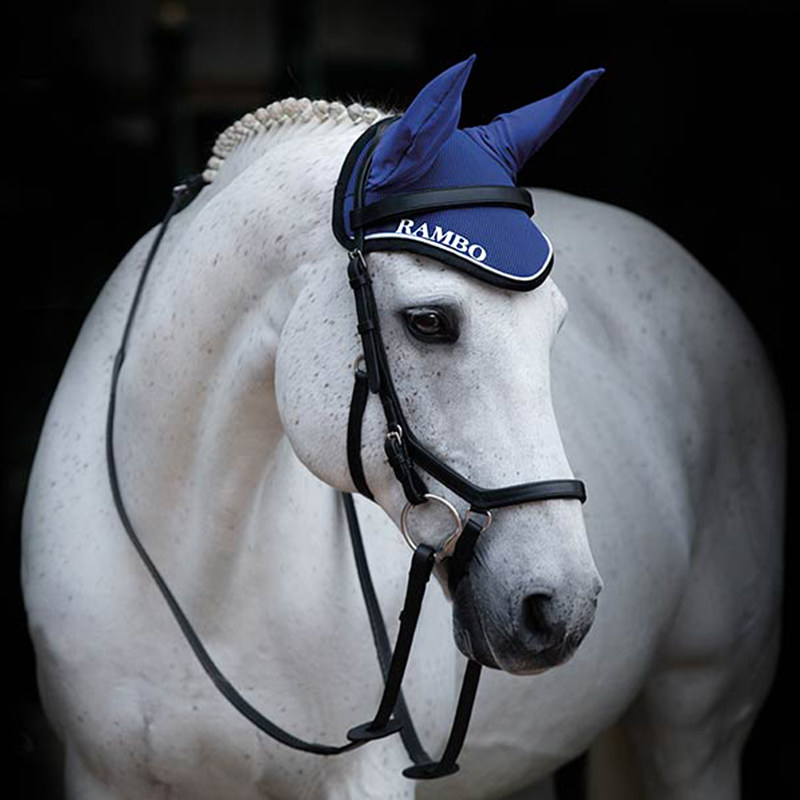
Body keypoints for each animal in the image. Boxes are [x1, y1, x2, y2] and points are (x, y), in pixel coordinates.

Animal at [21, 58, 784, 800]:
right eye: (429, 322)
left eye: (555, 326)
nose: (559, 606)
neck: (202, 573)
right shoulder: (99, 775)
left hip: (696, 728)